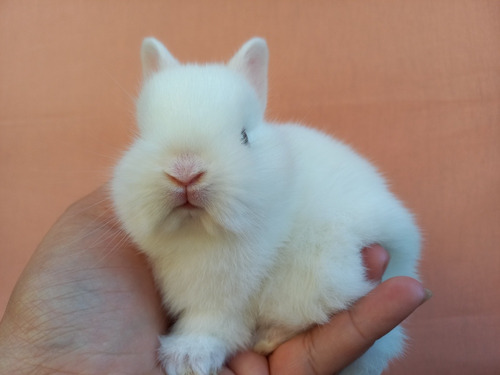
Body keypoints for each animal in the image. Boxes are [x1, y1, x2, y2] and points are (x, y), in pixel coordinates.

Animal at [111, 36, 420, 375]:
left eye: (244, 136)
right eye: (142, 136)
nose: (185, 172)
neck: (197, 233)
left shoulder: (226, 296)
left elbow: (212, 325)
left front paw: (187, 358)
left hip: (323, 273)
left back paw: (267, 339)